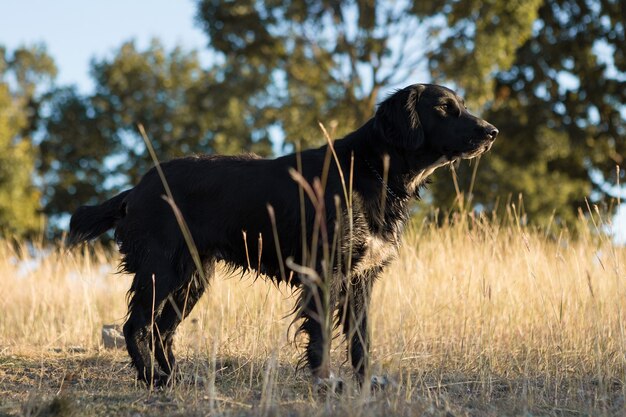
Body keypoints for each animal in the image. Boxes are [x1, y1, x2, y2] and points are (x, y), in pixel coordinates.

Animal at [69, 83, 498, 388]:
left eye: (462, 105)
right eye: (444, 109)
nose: (492, 132)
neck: (372, 171)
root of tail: (138, 187)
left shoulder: (362, 278)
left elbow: (361, 340)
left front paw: (364, 385)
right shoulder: (325, 274)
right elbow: (321, 337)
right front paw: (326, 383)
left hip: (192, 278)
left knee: (161, 329)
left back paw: (173, 377)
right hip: (164, 270)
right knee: (136, 325)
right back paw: (152, 380)